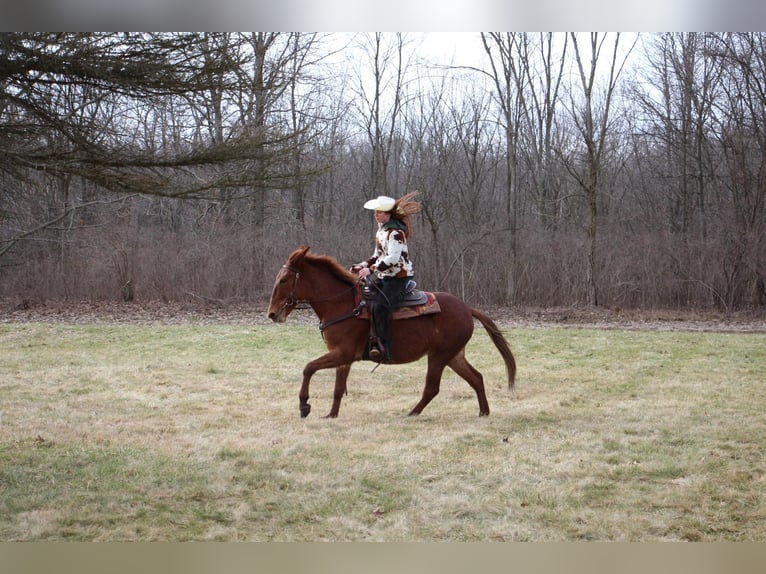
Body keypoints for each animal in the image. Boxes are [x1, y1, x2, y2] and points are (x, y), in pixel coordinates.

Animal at [268, 246, 520, 418]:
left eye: (284, 280)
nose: (271, 314)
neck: (343, 305)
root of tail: (467, 308)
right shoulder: (342, 358)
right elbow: (338, 389)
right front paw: (331, 415)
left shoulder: (342, 353)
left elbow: (309, 368)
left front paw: (304, 405)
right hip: (454, 356)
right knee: (476, 378)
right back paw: (484, 412)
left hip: (439, 356)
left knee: (432, 388)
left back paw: (411, 413)